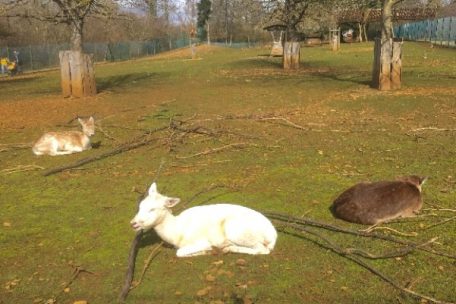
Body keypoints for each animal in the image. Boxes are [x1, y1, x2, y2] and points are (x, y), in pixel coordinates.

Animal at [130, 183, 276, 256]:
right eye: (140, 205)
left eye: (152, 209)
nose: (133, 223)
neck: (176, 233)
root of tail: (273, 235)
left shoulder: (201, 241)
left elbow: (179, 252)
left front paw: (207, 251)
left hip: (238, 231)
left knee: (263, 250)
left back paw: (228, 248)